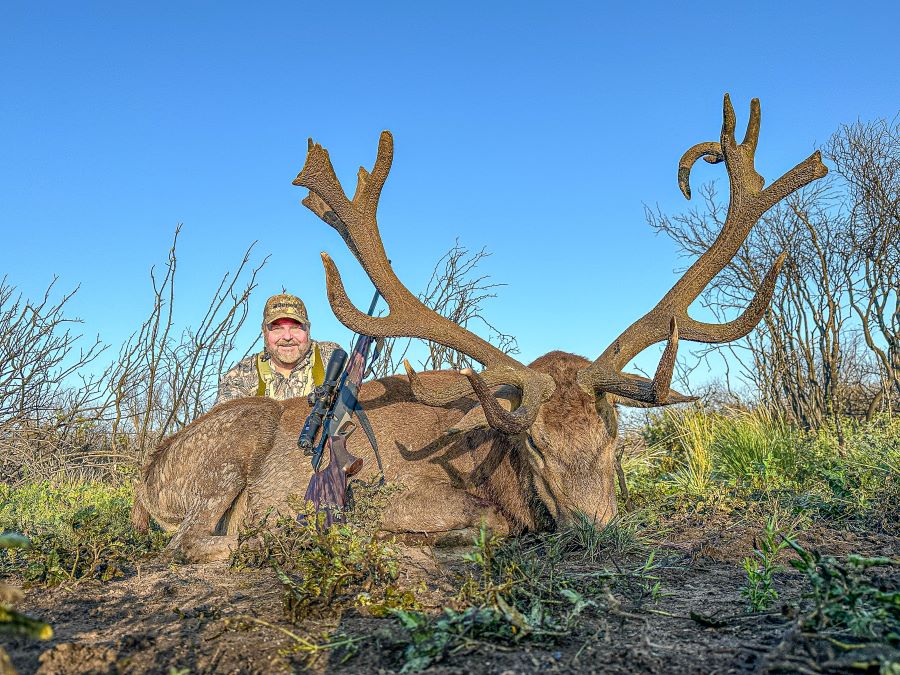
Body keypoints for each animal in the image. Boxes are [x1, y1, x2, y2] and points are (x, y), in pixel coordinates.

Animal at [132, 95, 828, 562]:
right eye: (535, 446)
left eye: (612, 437)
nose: (595, 529)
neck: (497, 473)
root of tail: (145, 478)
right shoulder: (400, 496)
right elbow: (480, 525)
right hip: (226, 458)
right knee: (191, 544)